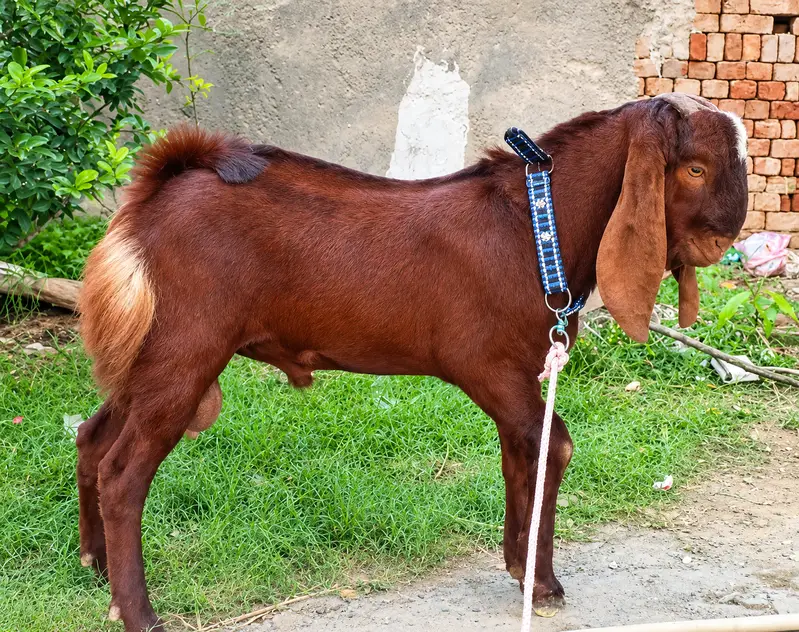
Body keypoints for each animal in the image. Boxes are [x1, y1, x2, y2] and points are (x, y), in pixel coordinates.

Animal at [77, 93, 748, 631]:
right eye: (695, 168)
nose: (726, 236)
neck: (530, 226)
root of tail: (156, 194)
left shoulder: (516, 374)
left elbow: (520, 452)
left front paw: (518, 567)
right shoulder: (492, 365)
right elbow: (552, 445)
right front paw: (543, 583)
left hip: (150, 349)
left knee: (91, 437)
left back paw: (95, 566)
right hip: (186, 347)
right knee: (123, 473)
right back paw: (137, 612)